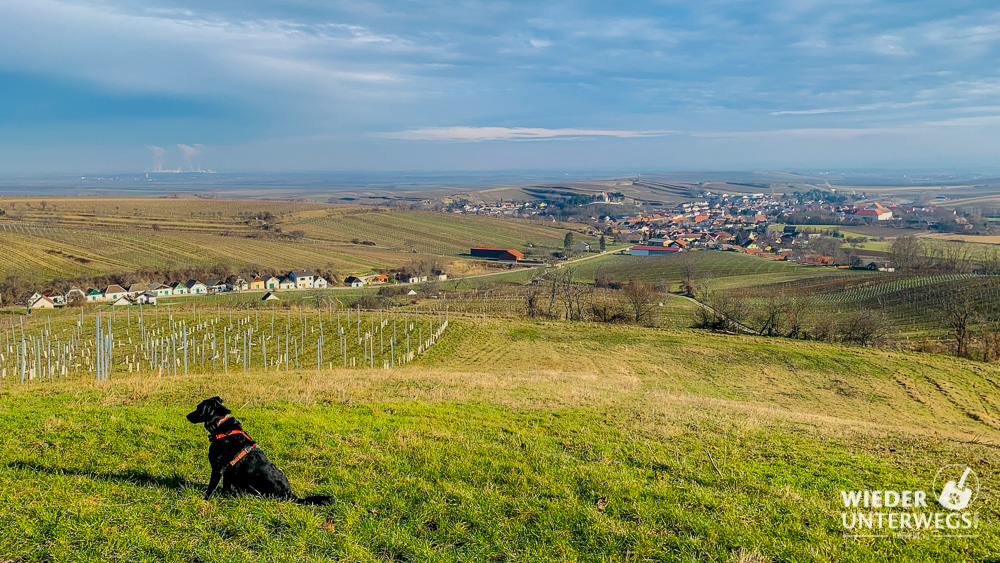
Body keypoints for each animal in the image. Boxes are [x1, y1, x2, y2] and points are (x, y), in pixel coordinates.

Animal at [184, 396, 332, 506]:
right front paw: (225, 498)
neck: (222, 427)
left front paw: (205, 501)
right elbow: (226, 487)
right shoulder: (228, 471)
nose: (186, 416)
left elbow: (210, 488)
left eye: (198, 408)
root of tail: (291, 495)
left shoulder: (218, 468)